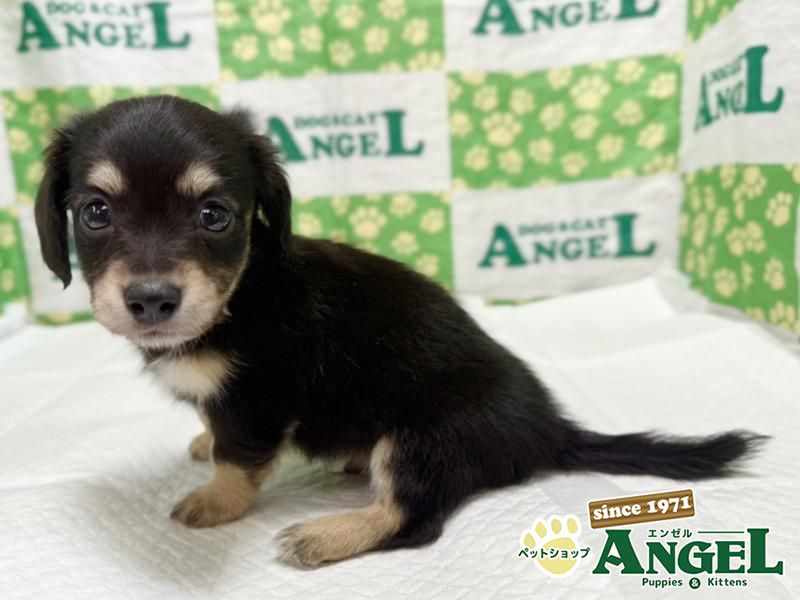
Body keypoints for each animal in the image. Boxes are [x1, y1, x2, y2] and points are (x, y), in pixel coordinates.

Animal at [34, 95, 762, 567]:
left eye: (215, 215)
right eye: (95, 212)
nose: (151, 300)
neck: (239, 297)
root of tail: (547, 430)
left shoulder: (259, 398)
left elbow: (240, 457)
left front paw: (214, 502)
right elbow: (218, 432)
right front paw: (200, 442)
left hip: (420, 440)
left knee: (412, 519)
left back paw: (321, 538)